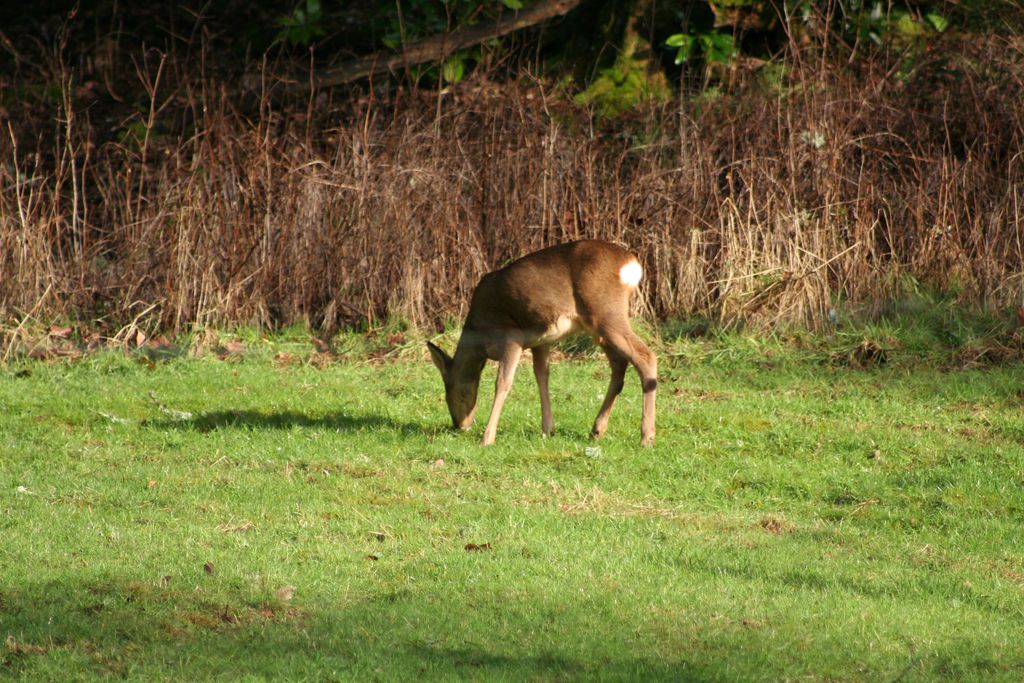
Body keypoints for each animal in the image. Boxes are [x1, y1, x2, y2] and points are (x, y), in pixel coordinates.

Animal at [423, 240, 655, 448]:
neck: (479, 335)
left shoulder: (511, 336)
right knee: (619, 365)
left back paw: (646, 438)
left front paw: (487, 439)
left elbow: (503, 383)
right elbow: (542, 376)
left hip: (605, 312)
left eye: (454, 391)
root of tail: (631, 264)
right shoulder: (540, 341)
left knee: (646, 356)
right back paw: (597, 430)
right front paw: (548, 429)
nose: (460, 425)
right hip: (597, 325)